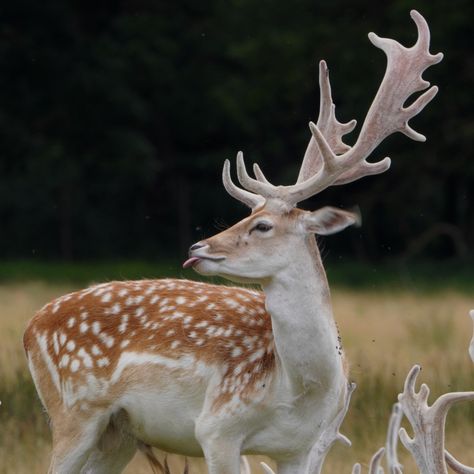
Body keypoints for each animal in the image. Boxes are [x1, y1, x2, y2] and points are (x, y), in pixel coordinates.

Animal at [24, 11, 442, 474]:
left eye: (262, 225)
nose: (197, 248)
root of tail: (31, 326)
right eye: (245, 215)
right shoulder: (216, 428)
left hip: (119, 433)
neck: (296, 389)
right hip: (73, 413)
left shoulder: (304, 445)